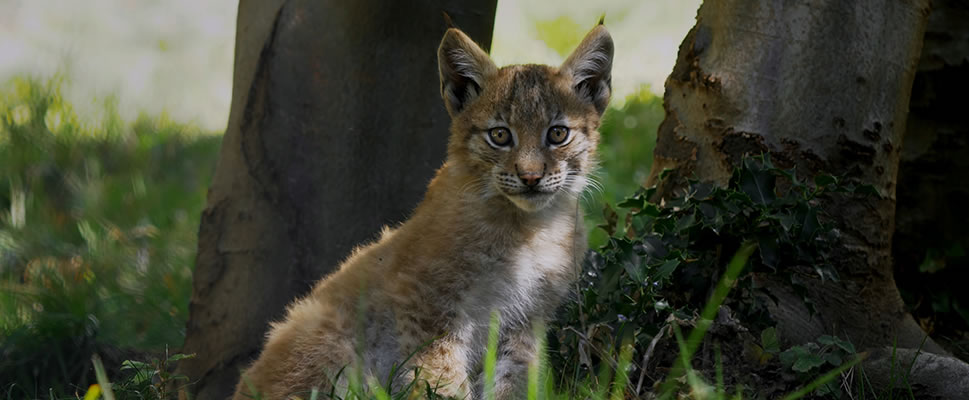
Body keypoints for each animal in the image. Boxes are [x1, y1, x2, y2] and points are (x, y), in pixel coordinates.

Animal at [234, 23, 612, 398]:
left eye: (558, 134)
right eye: (500, 136)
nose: (531, 177)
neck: (530, 226)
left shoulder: (527, 320)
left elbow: (513, 381)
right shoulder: (429, 309)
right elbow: (442, 376)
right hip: (327, 333)